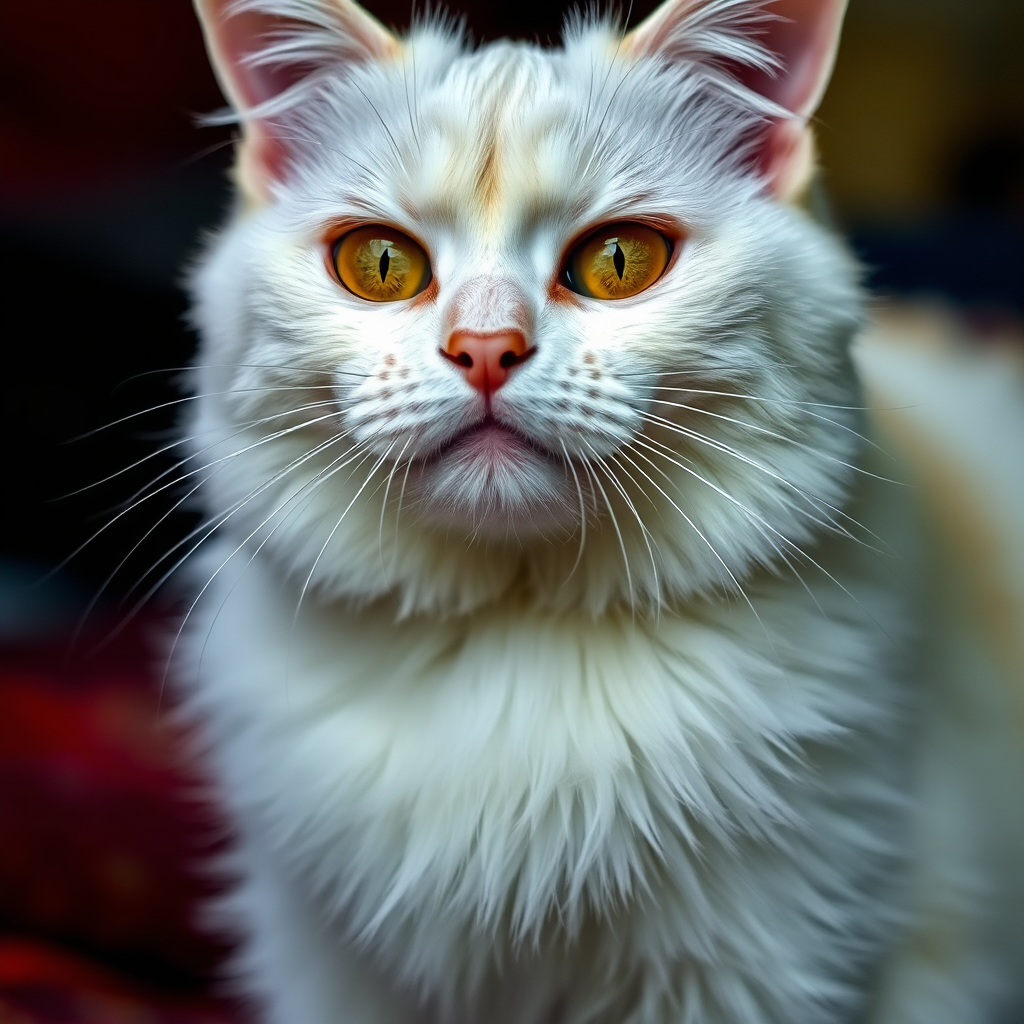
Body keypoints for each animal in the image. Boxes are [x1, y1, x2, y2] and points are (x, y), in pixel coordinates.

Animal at [178, 2, 1024, 1024]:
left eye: (620, 261)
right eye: (379, 264)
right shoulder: (329, 970)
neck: (516, 638)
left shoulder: (772, 966)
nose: (486, 348)